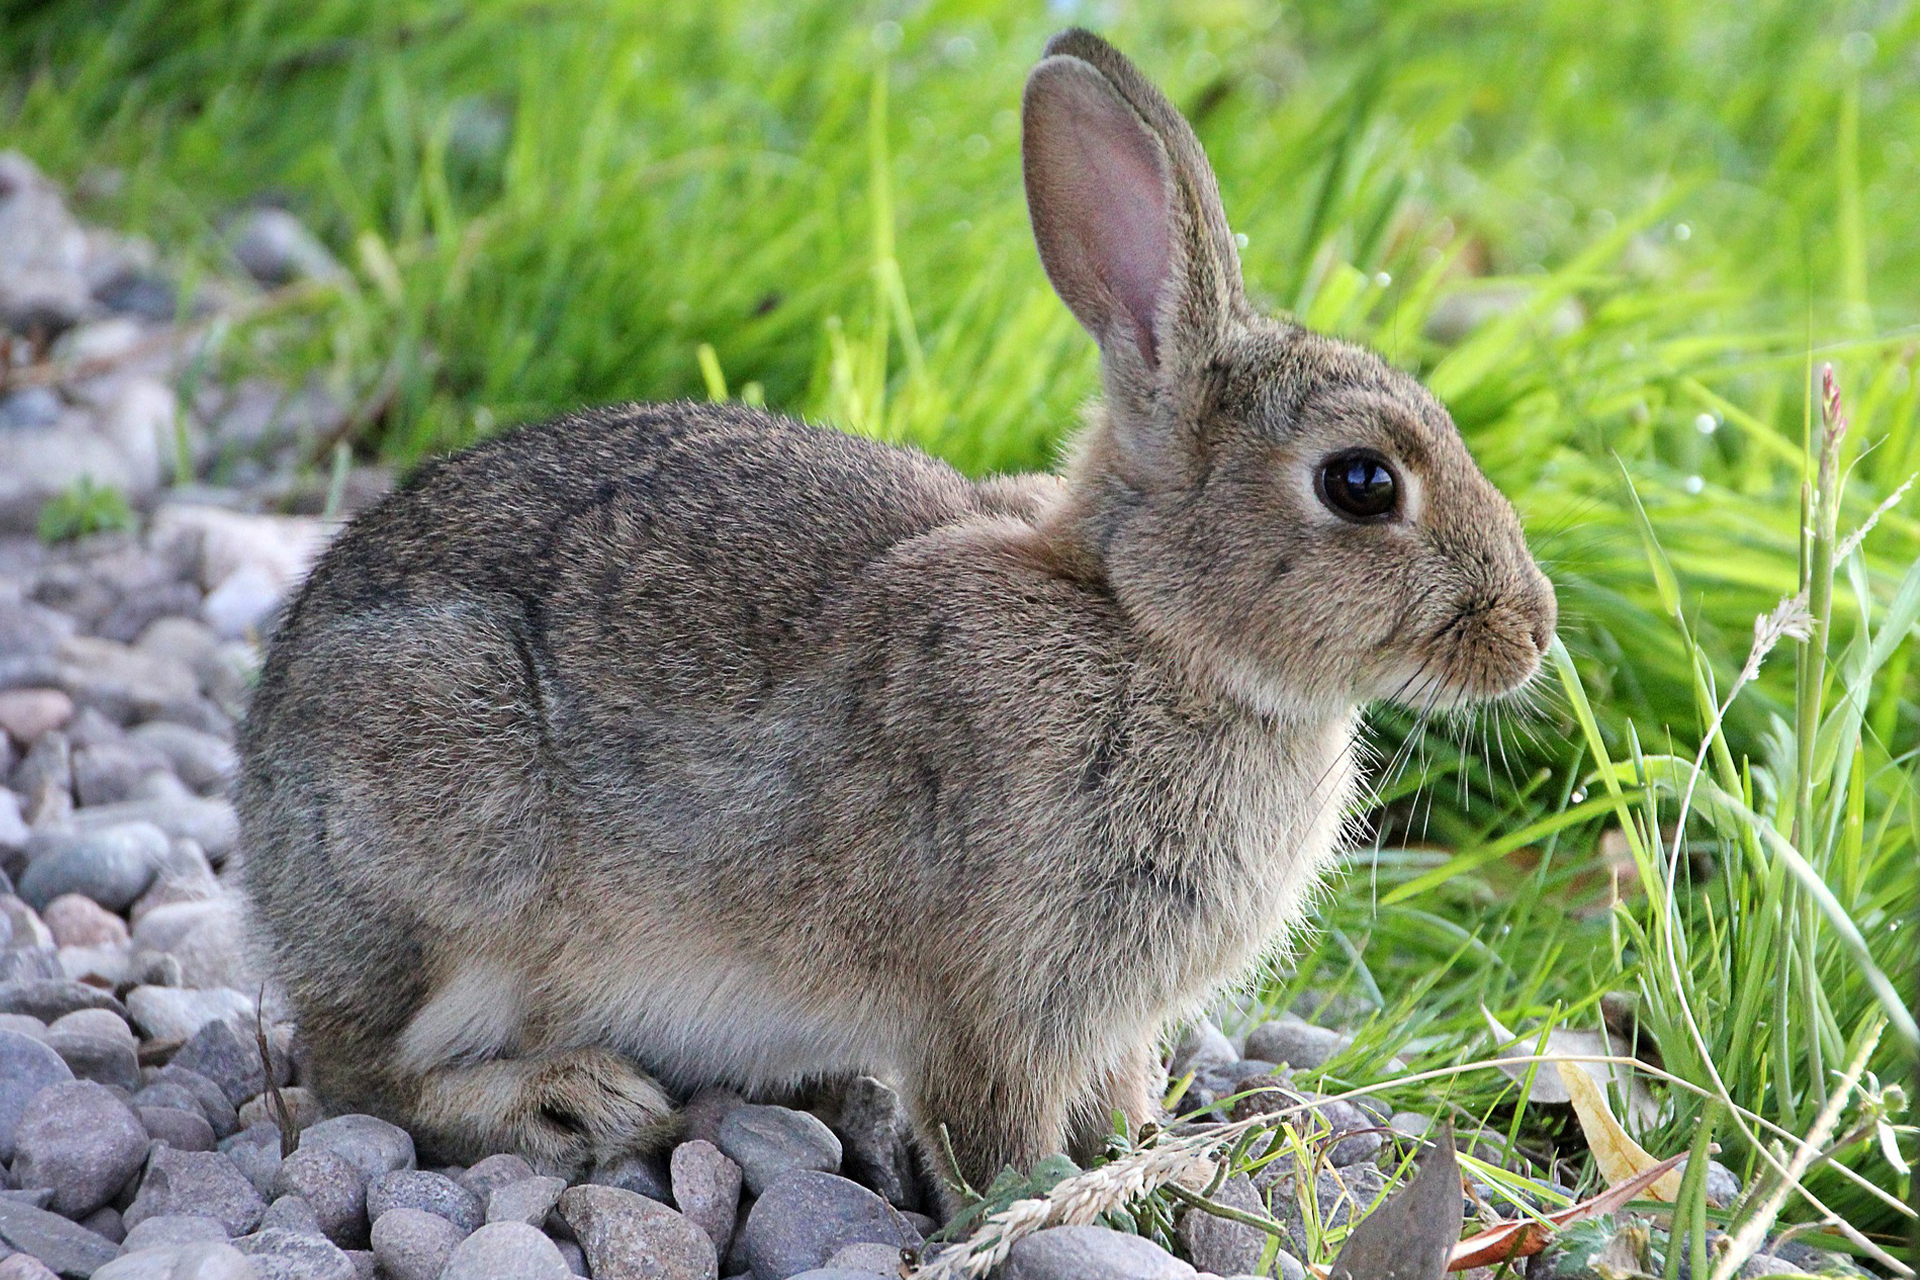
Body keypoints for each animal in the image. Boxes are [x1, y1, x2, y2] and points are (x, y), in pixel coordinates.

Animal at [238, 27, 1556, 1208]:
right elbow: (995, 1128)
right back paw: (569, 1099)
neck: (1150, 629)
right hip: (443, 853)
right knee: (360, 1074)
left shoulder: (1106, 1016)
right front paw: (1064, 1203)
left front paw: (1152, 1162)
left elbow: (1117, 1094)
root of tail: (261, 792)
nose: (1532, 627)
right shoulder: (996, 994)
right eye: (1362, 482)